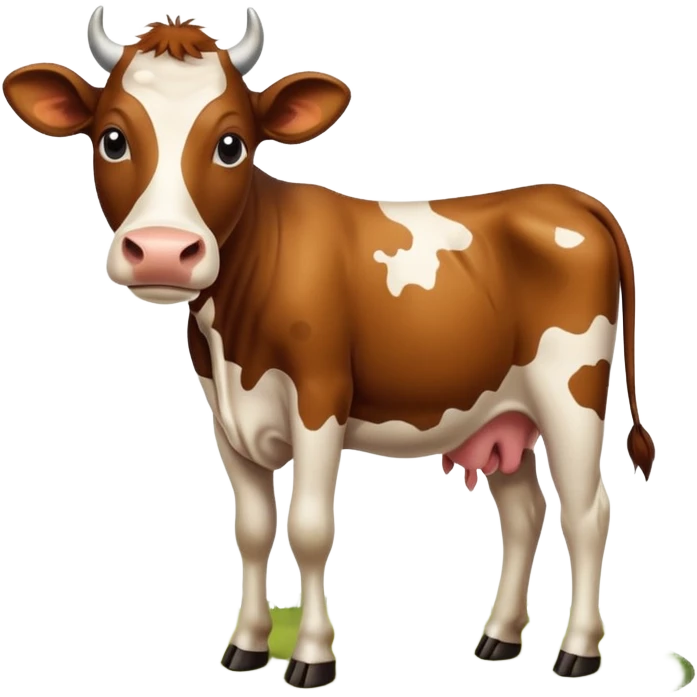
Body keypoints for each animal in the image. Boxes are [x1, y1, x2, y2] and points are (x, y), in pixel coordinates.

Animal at [1, 6, 656, 688]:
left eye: (231, 144)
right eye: (112, 138)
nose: (161, 250)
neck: (236, 330)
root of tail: (567, 195)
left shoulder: (320, 398)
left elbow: (310, 529)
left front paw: (312, 657)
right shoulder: (226, 415)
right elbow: (254, 530)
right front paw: (247, 646)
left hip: (571, 394)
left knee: (586, 512)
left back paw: (578, 650)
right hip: (500, 414)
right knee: (525, 511)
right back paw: (498, 637)